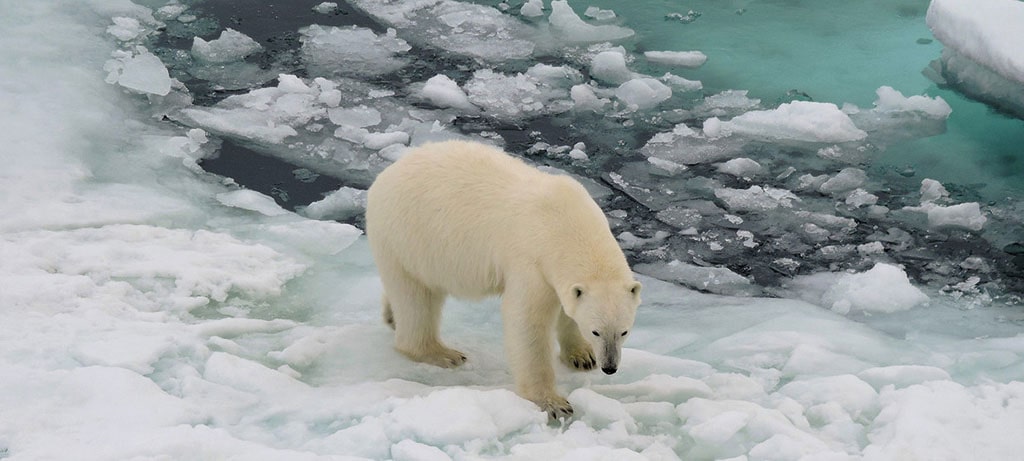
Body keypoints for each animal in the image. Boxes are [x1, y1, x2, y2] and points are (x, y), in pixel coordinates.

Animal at [366, 139, 638, 417]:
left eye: (624, 331)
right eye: (596, 332)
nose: (609, 367)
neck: (566, 222)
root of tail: (385, 175)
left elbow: (567, 308)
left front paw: (582, 356)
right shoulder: (530, 261)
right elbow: (526, 322)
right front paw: (553, 403)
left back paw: (391, 315)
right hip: (407, 236)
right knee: (416, 299)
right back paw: (442, 353)